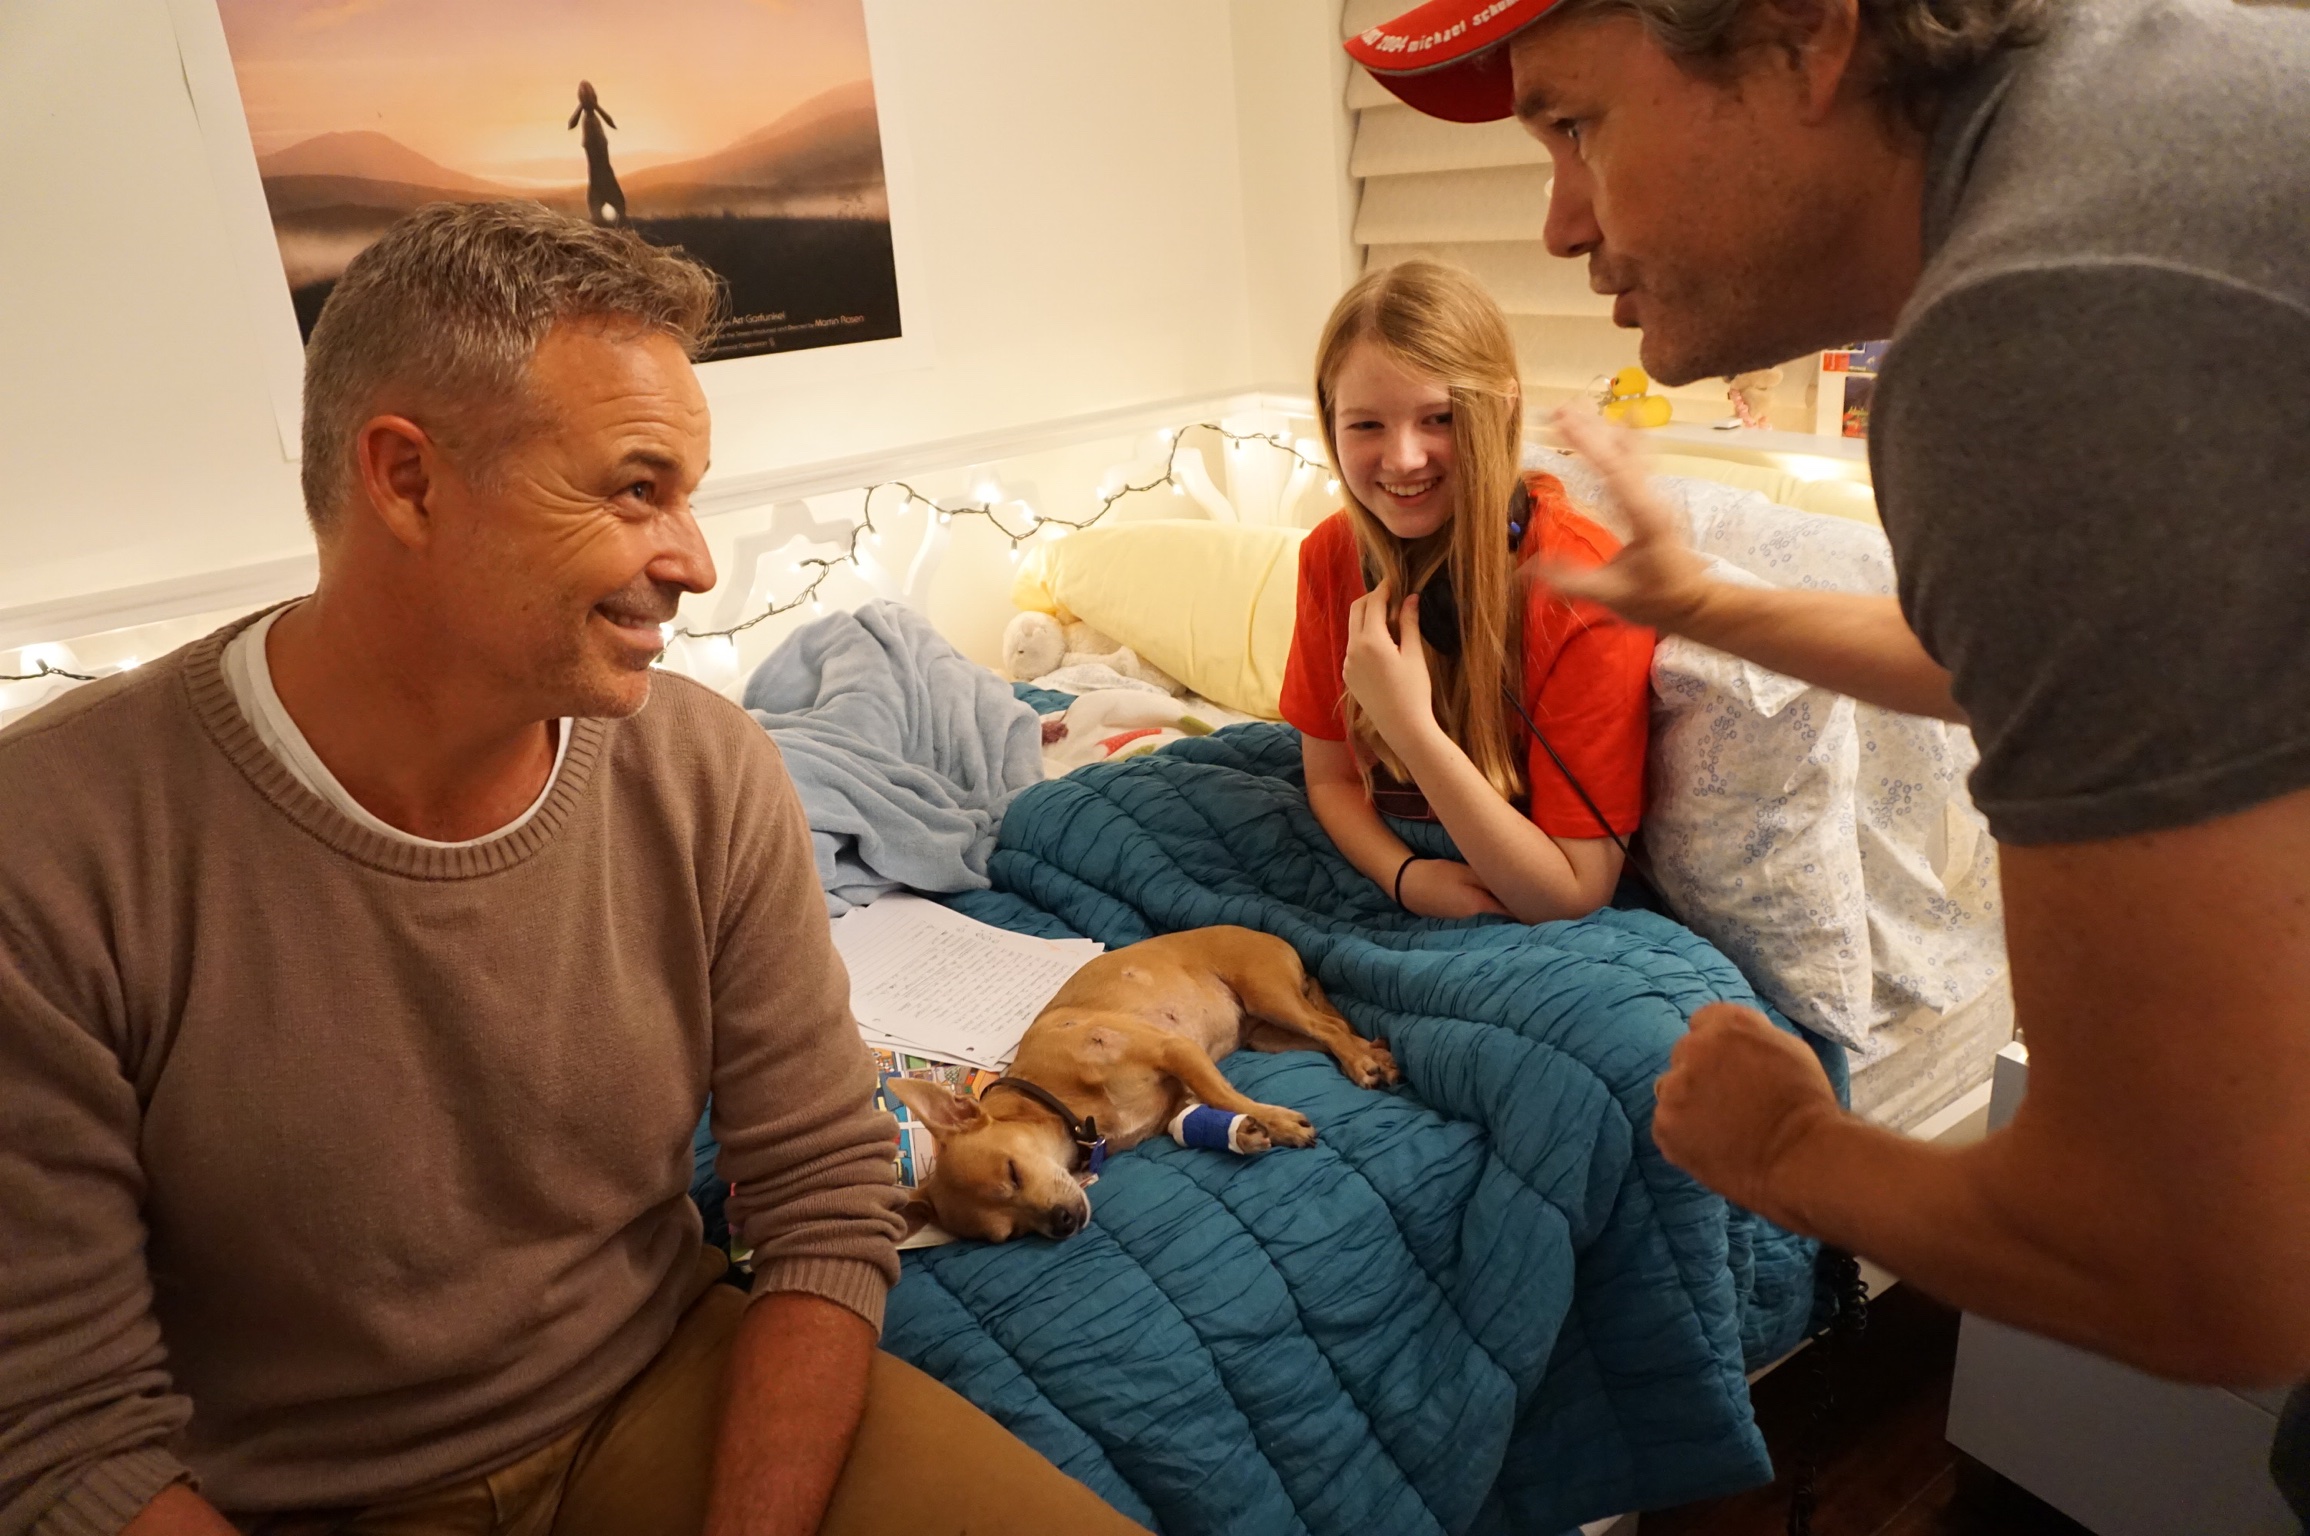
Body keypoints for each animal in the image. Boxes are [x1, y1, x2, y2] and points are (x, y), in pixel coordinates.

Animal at [877, 928, 1386, 1238]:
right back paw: (1375, 1054)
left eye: (1013, 1172)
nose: (1063, 1223)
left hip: (1270, 996)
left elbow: (1221, 1092)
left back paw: (1363, 1062)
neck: (1063, 1103)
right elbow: (1200, 1115)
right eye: (1013, 1234)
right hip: (1267, 1035)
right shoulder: (1177, 1098)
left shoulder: (1174, 1050)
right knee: (1330, 1030)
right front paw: (1244, 1131)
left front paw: (1275, 1122)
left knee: (1330, 1028)